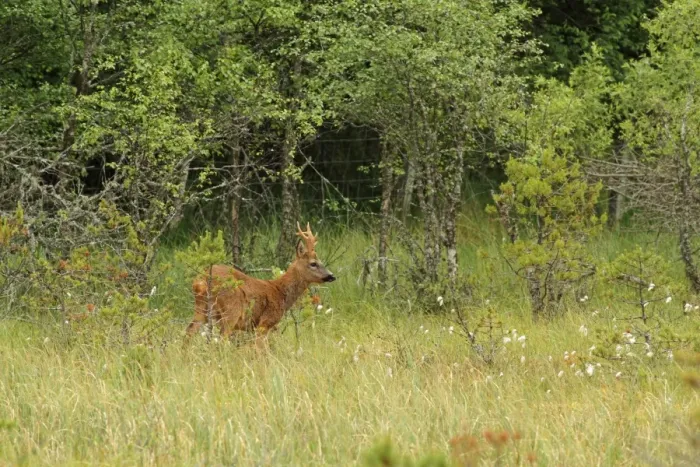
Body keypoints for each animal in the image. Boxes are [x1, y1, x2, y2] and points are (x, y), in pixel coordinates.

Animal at [185, 222, 336, 343]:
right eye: (313, 263)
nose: (331, 276)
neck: (280, 292)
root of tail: (201, 279)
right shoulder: (265, 322)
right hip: (230, 311)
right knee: (220, 339)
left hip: (201, 309)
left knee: (189, 332)